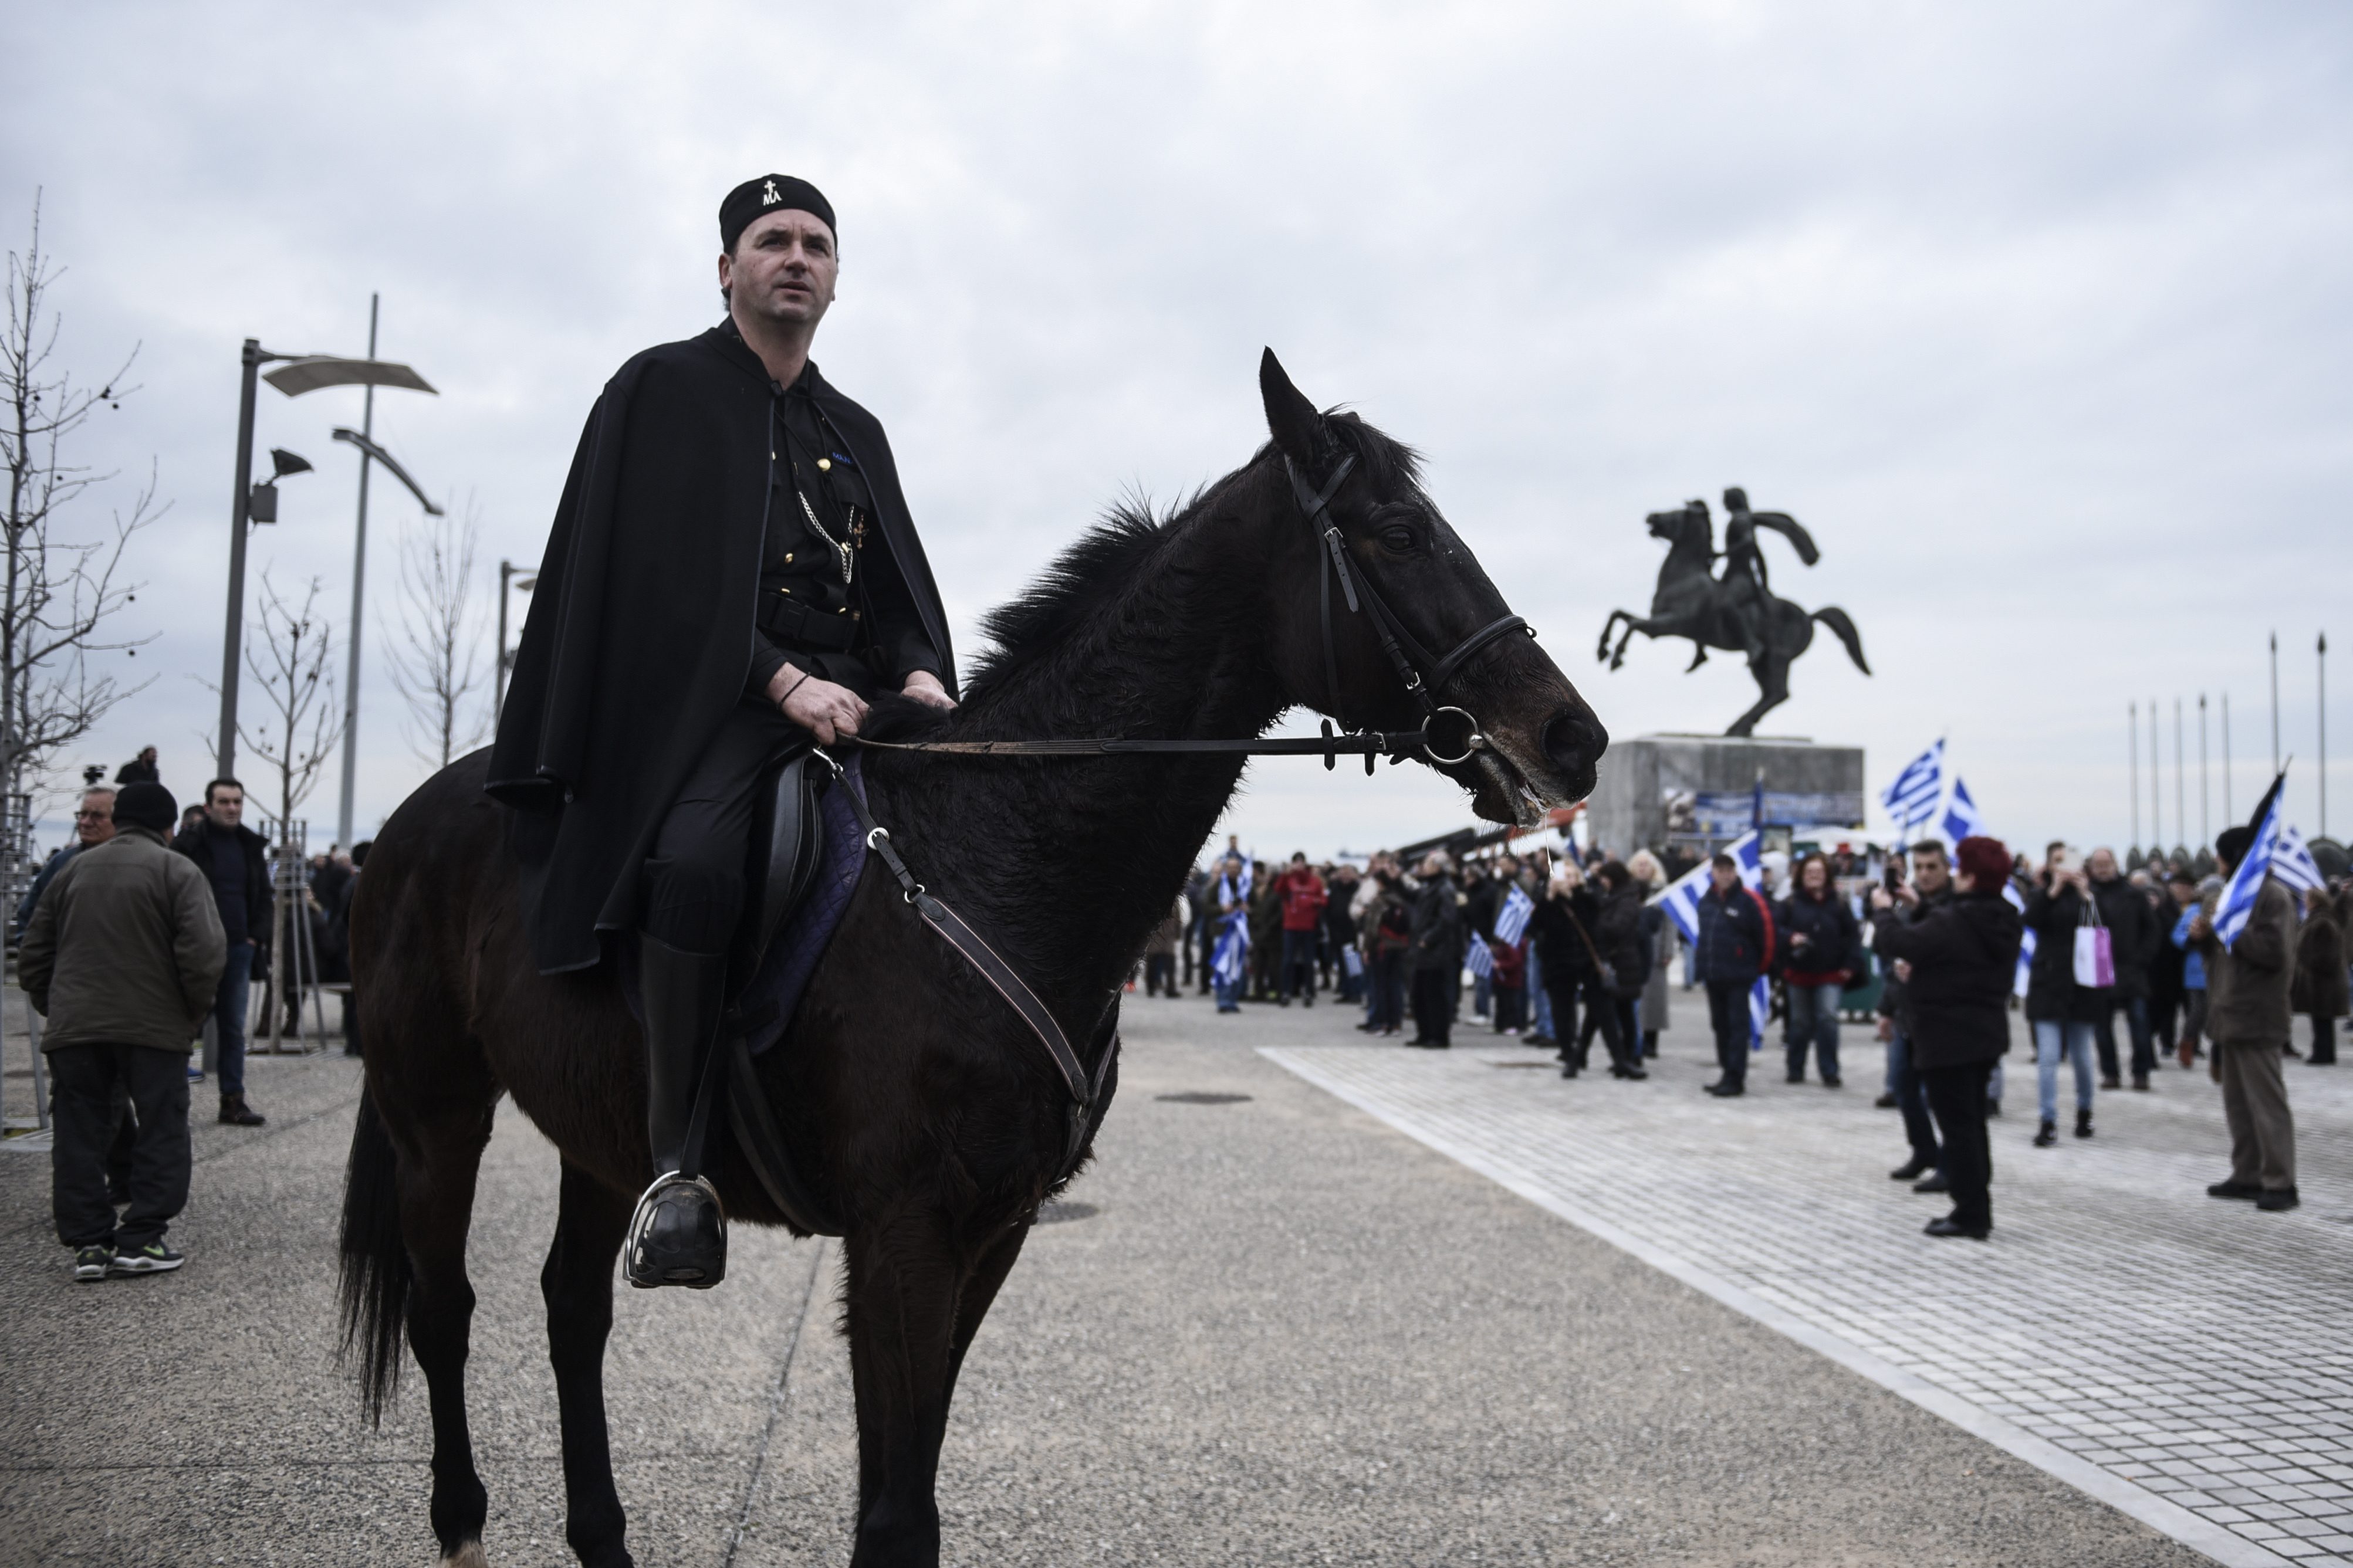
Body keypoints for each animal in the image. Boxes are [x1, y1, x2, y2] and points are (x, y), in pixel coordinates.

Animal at [341, 355, 1609, 1568]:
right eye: (1399, 531)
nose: (1576, 735)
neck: (999, 852)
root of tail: (400, 825)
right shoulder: (902, 1237)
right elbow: (897, 1520)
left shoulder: (991, 1234)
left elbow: (908, 1495)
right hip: (434, 1108)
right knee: (447, 1306)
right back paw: (462, 1522)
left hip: (599, 1128)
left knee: (571, 1308)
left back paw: (603, 1534)